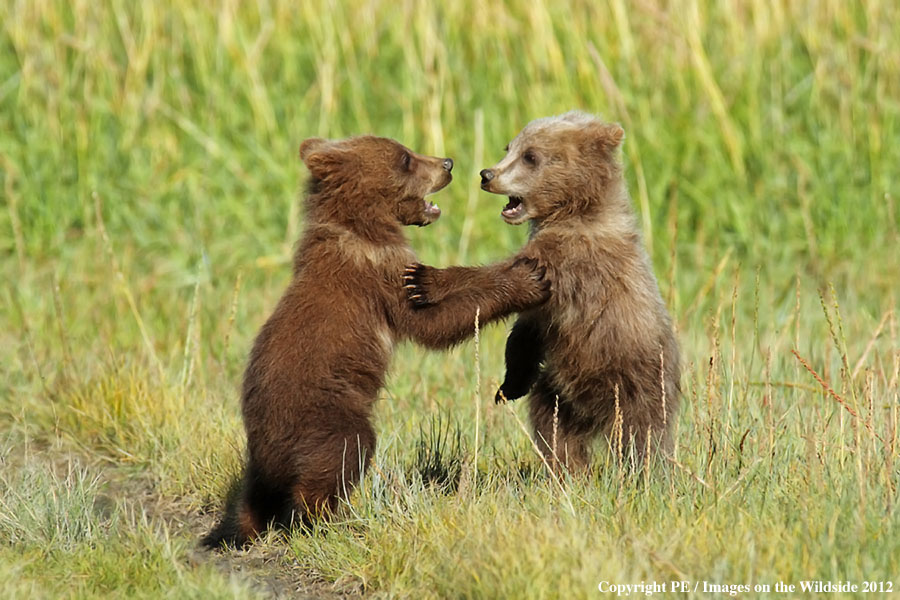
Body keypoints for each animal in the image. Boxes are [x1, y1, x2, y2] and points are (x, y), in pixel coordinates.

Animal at [205, 136, 552, 548]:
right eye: (405, 158)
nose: (447, 163)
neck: (363, 226)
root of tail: (269, 451)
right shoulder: (379, 275)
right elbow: (433, 322)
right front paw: (527, 281)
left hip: (260, 457)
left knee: (253, 498)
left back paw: (236, 530)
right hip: (325, 417)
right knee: (341, 456)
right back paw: (327, 521)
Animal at [404, 111, 680, 468]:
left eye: (530, 156)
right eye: (509, 147)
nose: (487, 174)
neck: (575, 211)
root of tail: (594, 415)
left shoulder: (572, 260)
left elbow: (502, 275)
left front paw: (425, 279)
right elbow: (526, 329)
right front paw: (509, 385)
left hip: (633, 379)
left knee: (641, 435)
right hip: (559, 390)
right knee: (553, 426)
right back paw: (568, 469)